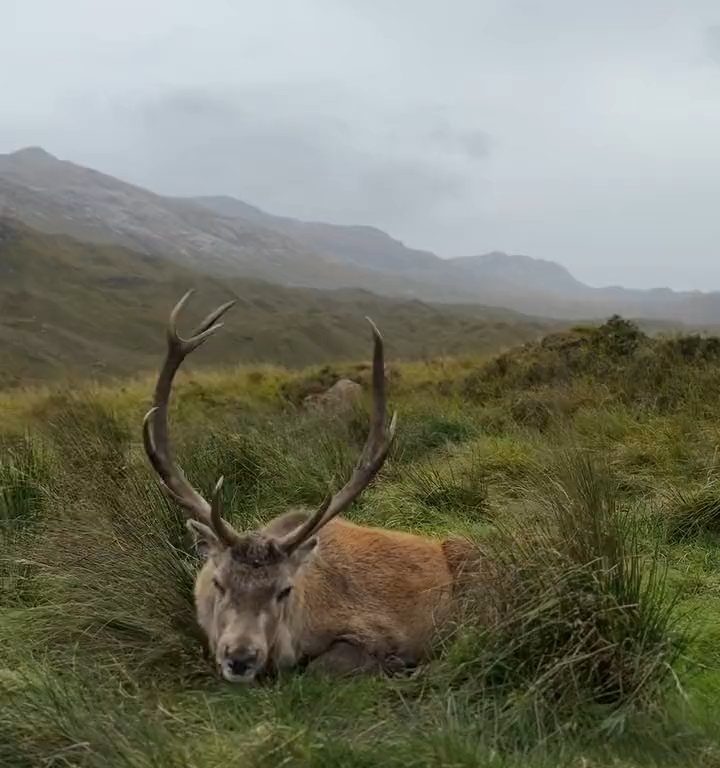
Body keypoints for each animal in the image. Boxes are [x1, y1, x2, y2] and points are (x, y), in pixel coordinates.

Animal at [145, 292, 472, 680]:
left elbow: (324, 666)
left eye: (284, 590)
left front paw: (392, 664)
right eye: (219, 583)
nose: (240, 657)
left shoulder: (377, 631)